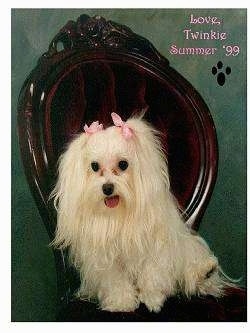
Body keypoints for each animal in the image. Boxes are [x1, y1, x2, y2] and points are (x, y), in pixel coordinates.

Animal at [52, 111, 229, 312]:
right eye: (95, 166)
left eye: (123, 164)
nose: (107, 188)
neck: (120, 215)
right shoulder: (106, 260)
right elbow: (115, 281)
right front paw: (121, 302)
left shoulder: (154, 246)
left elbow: (152, 272)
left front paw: (153, 299)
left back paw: (205, 272)